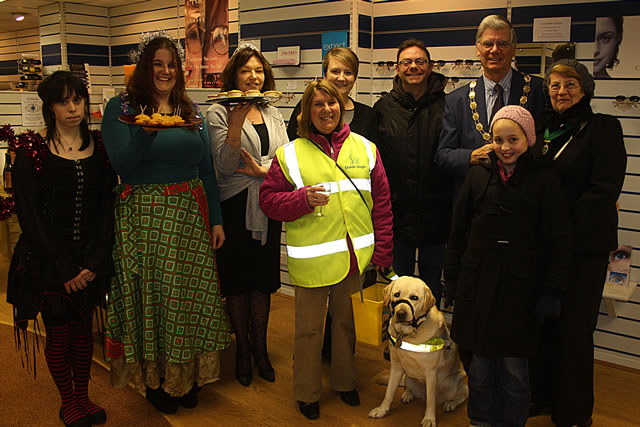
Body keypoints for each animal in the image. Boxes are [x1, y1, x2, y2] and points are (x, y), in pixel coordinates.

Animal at [368, 278, 468, 427]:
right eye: (397, 294)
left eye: (414, 298)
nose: (401, 314)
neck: (407, 335)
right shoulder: (396, 366)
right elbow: (389, 392)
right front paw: (382, 410)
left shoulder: (431, 373)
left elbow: (430, 401)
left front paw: (429, 419)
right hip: (409, 376)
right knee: (409, 387)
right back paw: (407, 394)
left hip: (456, 382)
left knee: (462, 396)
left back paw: (450, 404)